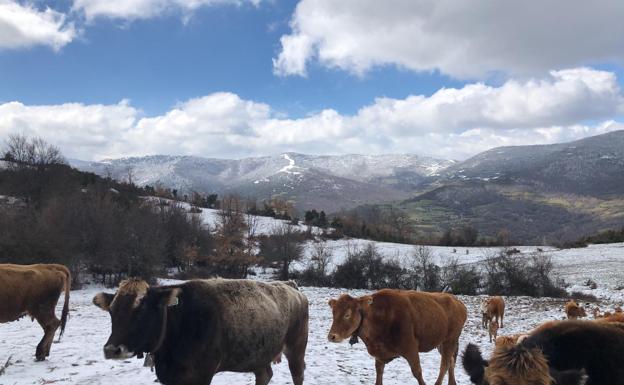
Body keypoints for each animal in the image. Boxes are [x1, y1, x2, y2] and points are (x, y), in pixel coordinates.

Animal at [94, 278, 308, 384]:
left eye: (142, 309)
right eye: (111, 311)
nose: (112, 349)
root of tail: (290, 287)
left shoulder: (201, 374)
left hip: (296, 347)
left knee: (297, 374)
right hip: (259, 353)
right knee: (264, 375)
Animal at [330, 288, 466, 384]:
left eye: (347, 314)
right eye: (334, 313)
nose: (332, 336)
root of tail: (457, 301)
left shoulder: (411, 349)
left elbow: (417, 372)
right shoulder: (380, 355)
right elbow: (379, 373)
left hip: (450, 340)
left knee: (444, 365)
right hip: (441, 343)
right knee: (451, 361)